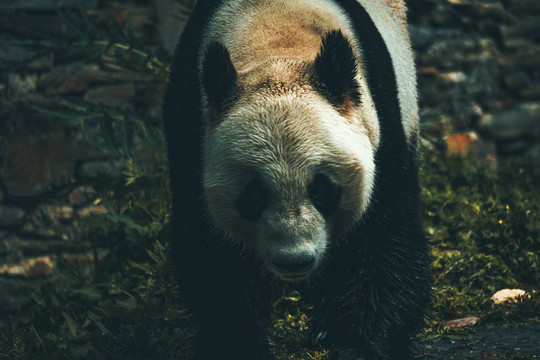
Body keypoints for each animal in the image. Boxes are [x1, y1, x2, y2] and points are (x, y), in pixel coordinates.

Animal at [162, 0, 432, 358]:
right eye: (255, 195)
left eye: (323, 189)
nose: (294, 260)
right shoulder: (194, 131)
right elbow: (211, 253)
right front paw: (237, 341)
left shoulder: (380, 130)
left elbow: (384, 243)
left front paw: (354, 344)